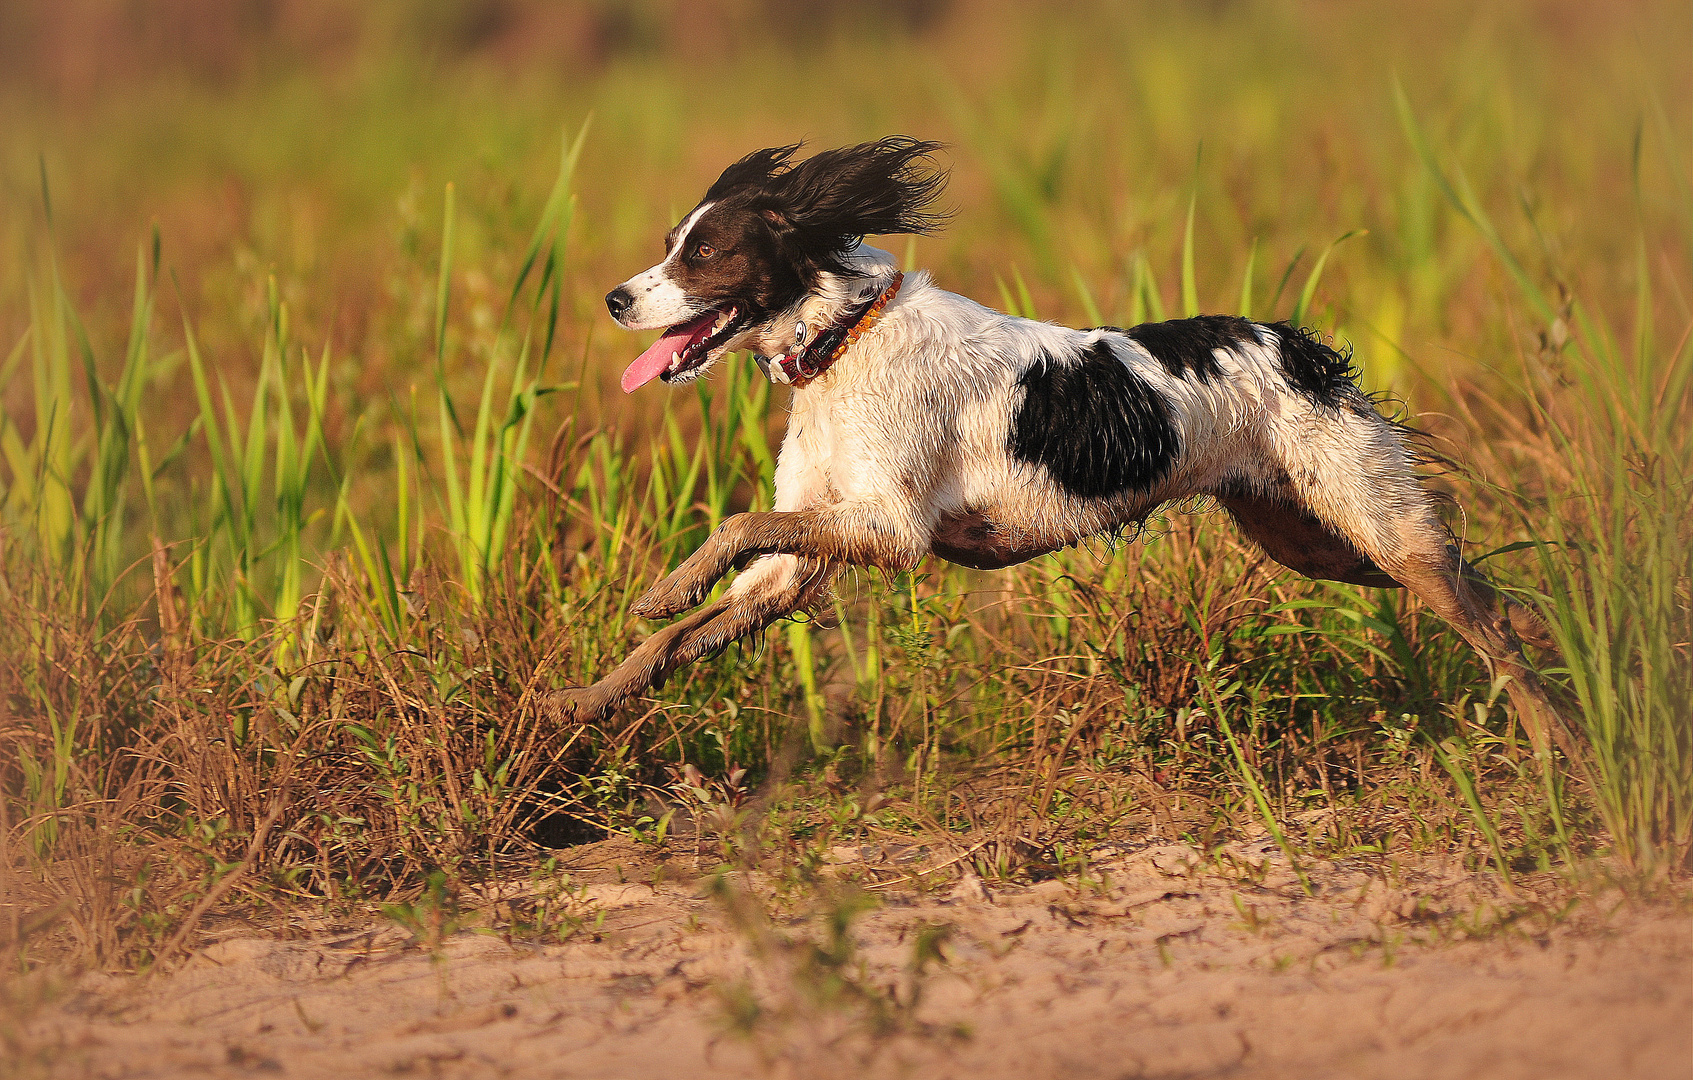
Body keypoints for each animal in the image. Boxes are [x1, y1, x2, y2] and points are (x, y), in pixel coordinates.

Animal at [555, 135, 1557, 751]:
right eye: (671, 243)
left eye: (705, 253)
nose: (612, 297)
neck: (845, 342)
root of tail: (1297, 345)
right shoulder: (793, 568)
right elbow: (678, 634)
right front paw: (574, 701)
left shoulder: (889, 532)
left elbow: (730, 529)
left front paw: (661, 587)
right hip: (1316, 541)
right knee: (1497, 602)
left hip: (1374, 524)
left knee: (1486, 616)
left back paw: (1559, 742)